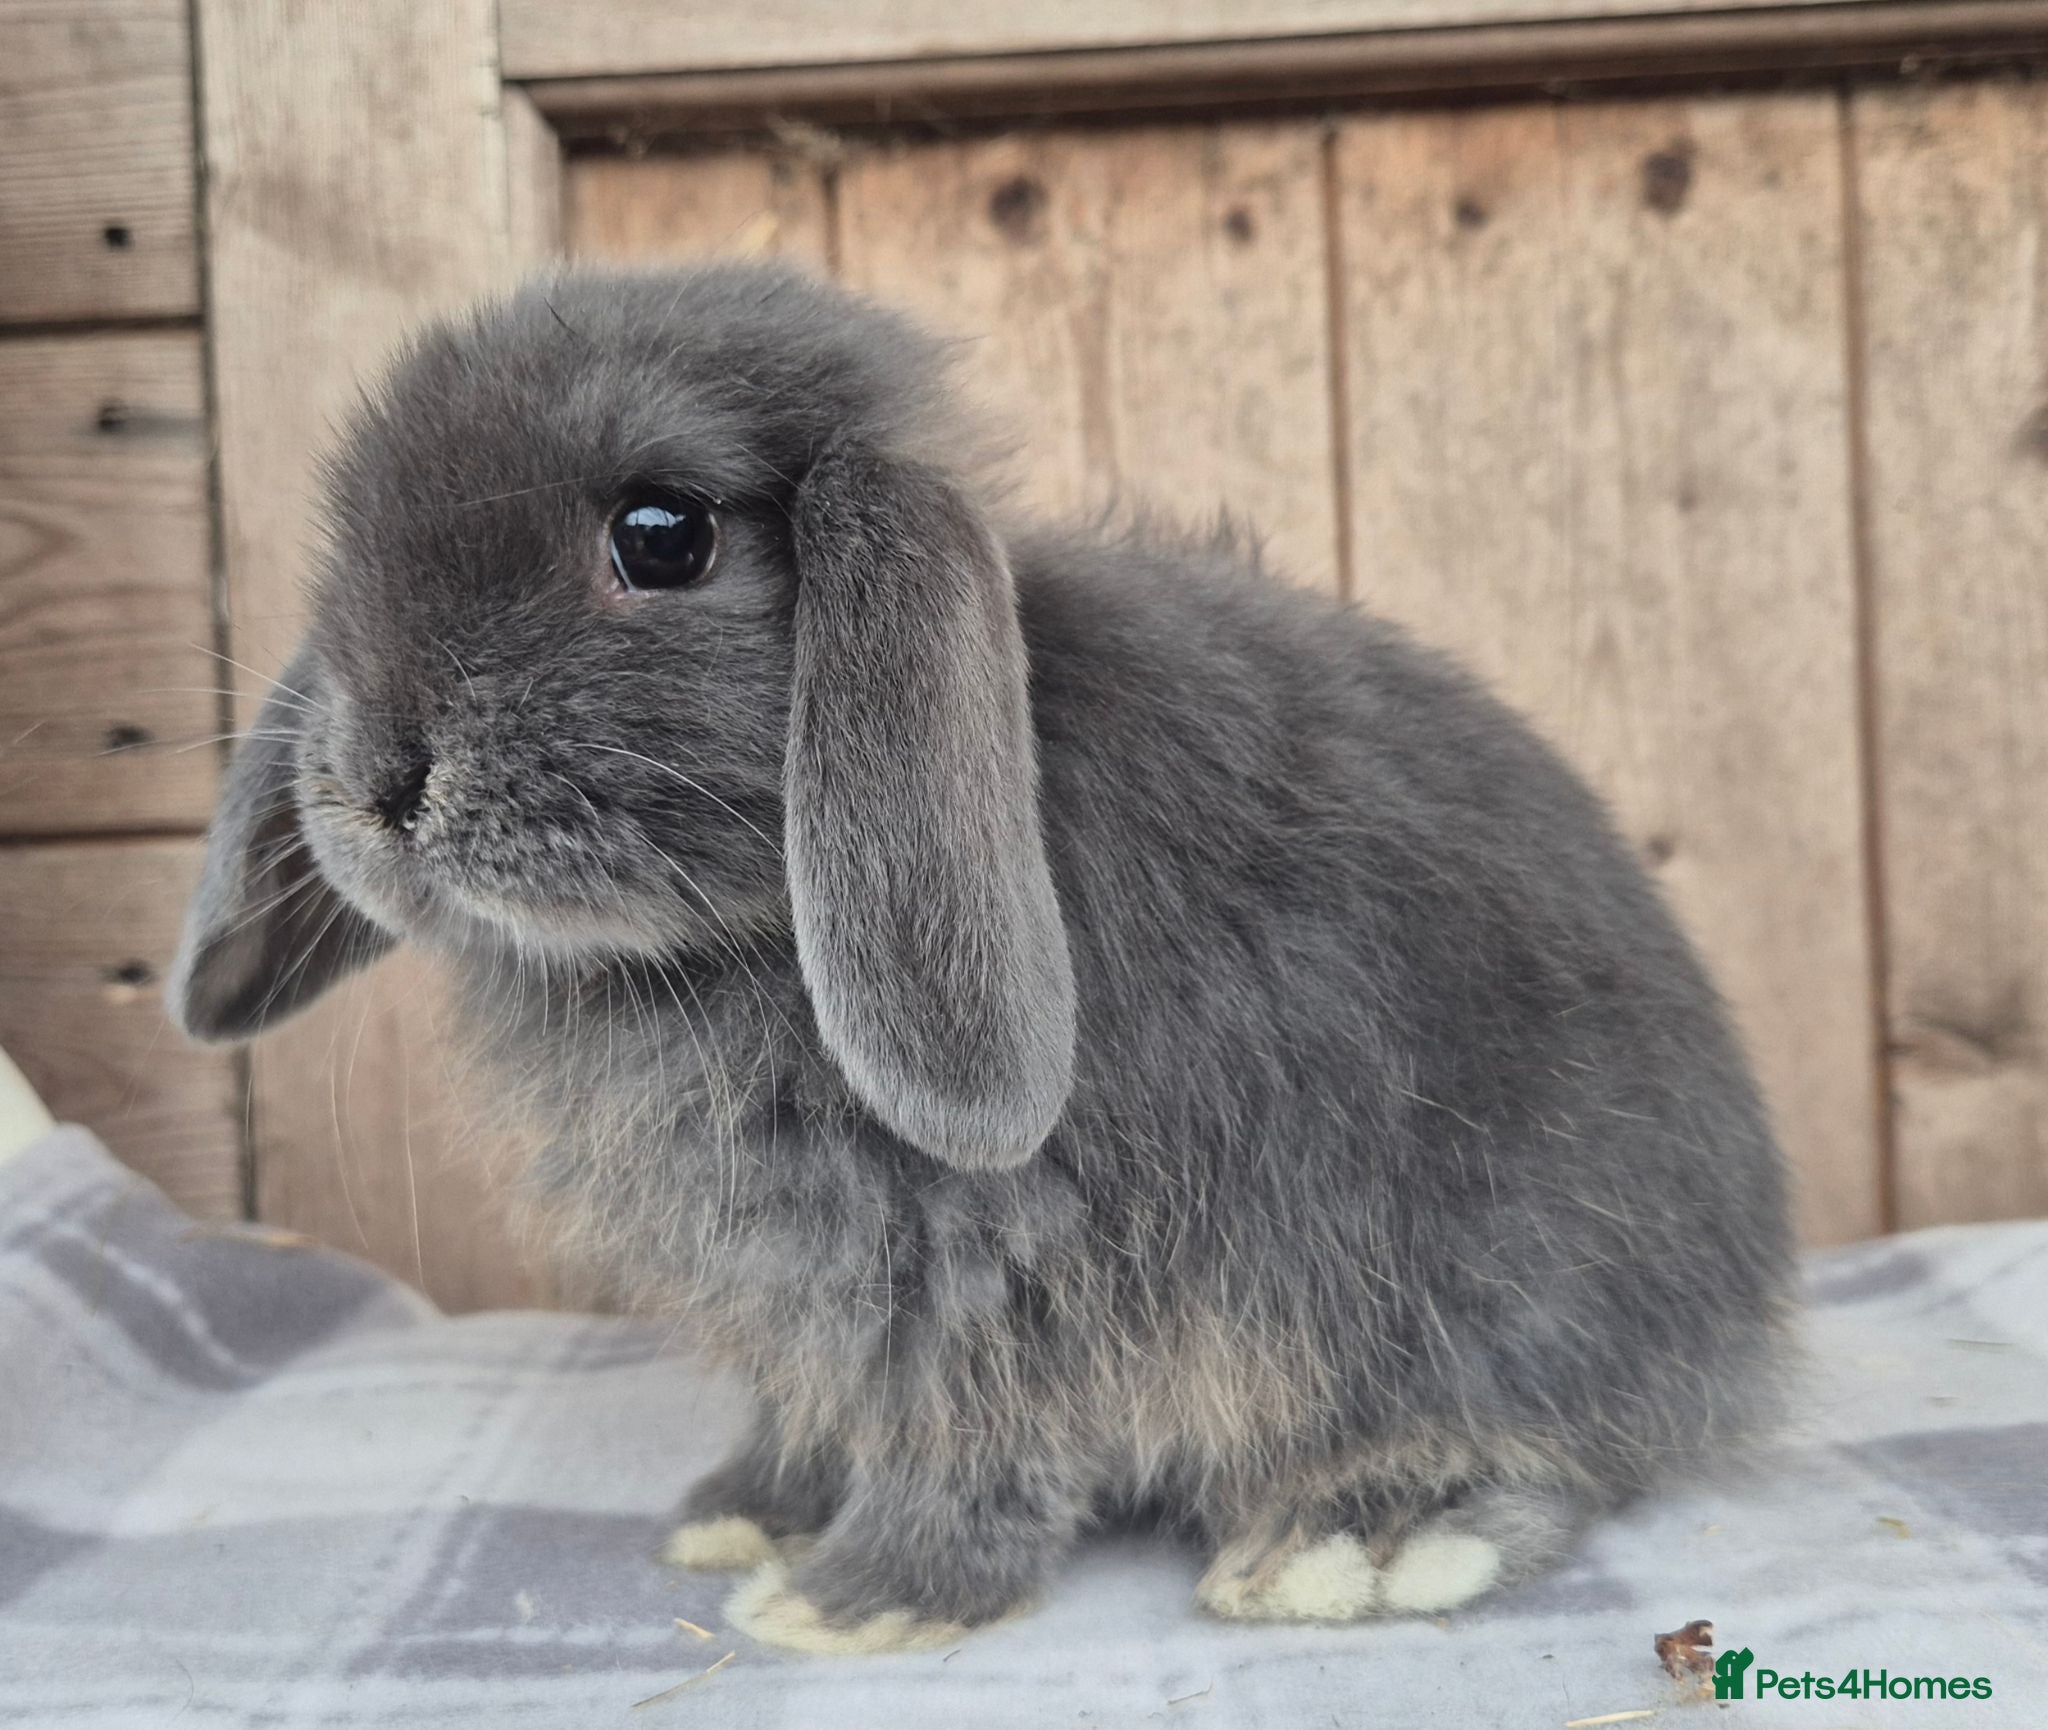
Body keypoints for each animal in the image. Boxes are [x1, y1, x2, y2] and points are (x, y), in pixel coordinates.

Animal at [170, 262, 1793, 1653]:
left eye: (661, 534)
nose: (378, 778)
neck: (730, 940)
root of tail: (1746, 1300)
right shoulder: (828, 1298)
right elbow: (816, 1408)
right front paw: (744, 1513)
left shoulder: (985, 1273)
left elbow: (967, 1436)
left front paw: (855, 1599)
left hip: (1485, 1287)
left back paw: (1357, 1538)